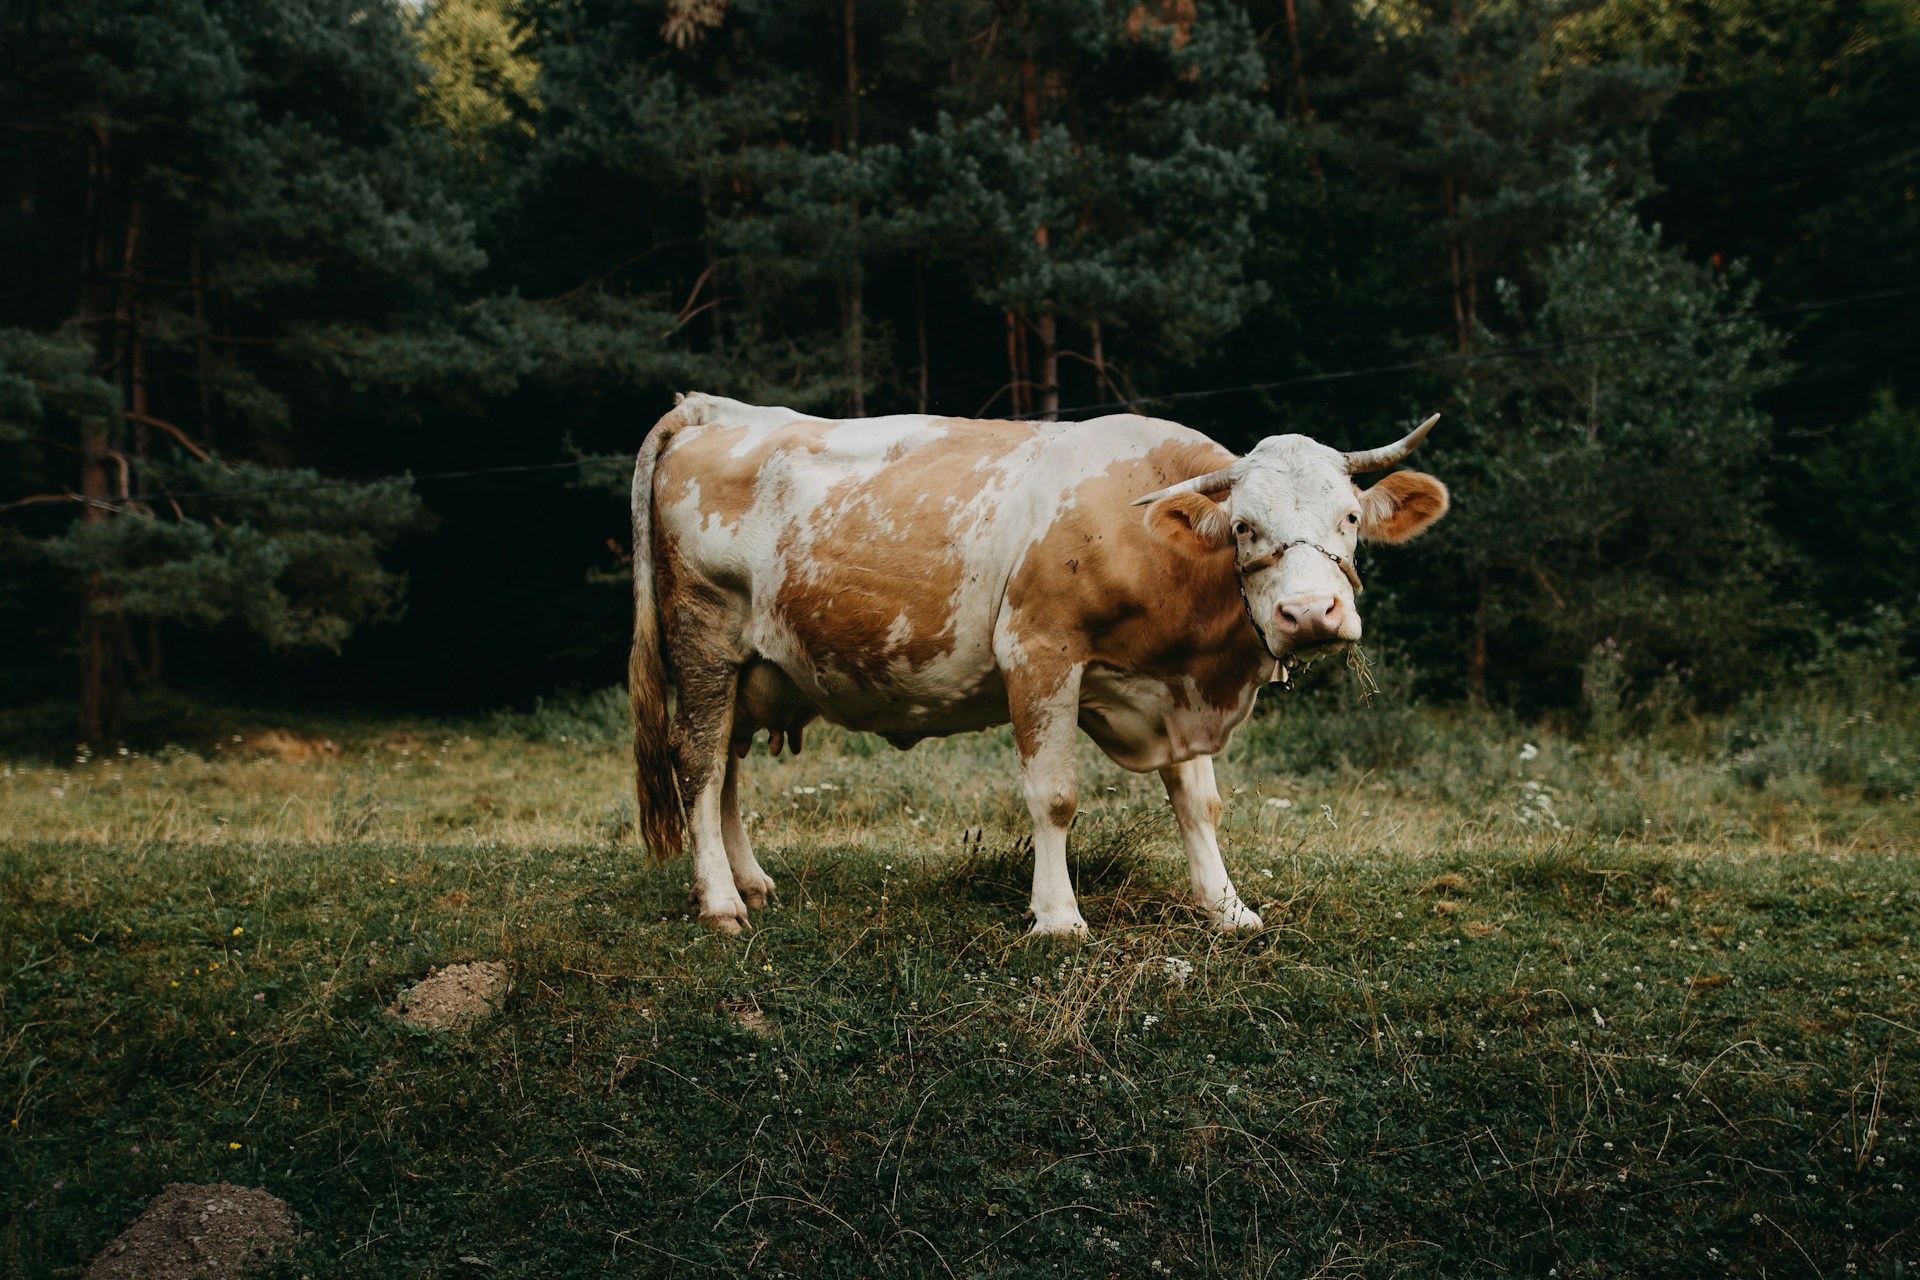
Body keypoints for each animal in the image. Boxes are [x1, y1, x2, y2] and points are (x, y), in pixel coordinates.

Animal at [629, 393, 1449, 936]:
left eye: (1349, 516)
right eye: (1245, 526)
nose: (1310, 615)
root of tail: (712, 408)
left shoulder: (1173, 684)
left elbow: (1199, 803)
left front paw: (1227, 908)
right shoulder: (1039, 651)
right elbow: (1053, 797)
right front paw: (1057, 918)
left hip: (750, 671)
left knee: (727, 771)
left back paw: (751, 883)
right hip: (704, 642)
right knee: (698, 764)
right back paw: (720, 903)